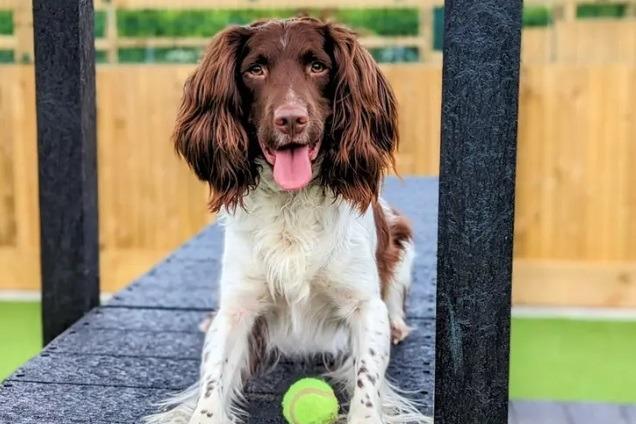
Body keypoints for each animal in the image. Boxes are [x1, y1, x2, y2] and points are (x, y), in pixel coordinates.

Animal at [146, 17, 430, 424]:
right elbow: (213, 379)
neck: (290, 206)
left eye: (318, 66)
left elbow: (366, 379)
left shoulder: (365, 305)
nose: (292, 119)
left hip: (400, 237)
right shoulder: (238, 307)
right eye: (255, 70)